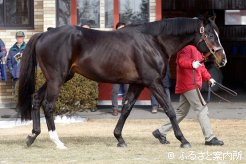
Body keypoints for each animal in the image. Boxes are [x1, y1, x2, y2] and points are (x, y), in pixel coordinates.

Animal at [17, 16, 227, 149]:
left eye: (217, 34)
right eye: (210, 35)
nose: (222, 59)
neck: (153, 42)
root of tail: (44, 34)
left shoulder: (137, 83)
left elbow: (126, 108)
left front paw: (119, 138)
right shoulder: (153, 82)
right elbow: (169, 110)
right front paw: (183, 140)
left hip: (57, 78)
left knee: (36, 99)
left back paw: (31, 136)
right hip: (56, 79)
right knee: (48, 105)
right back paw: (57, 142)